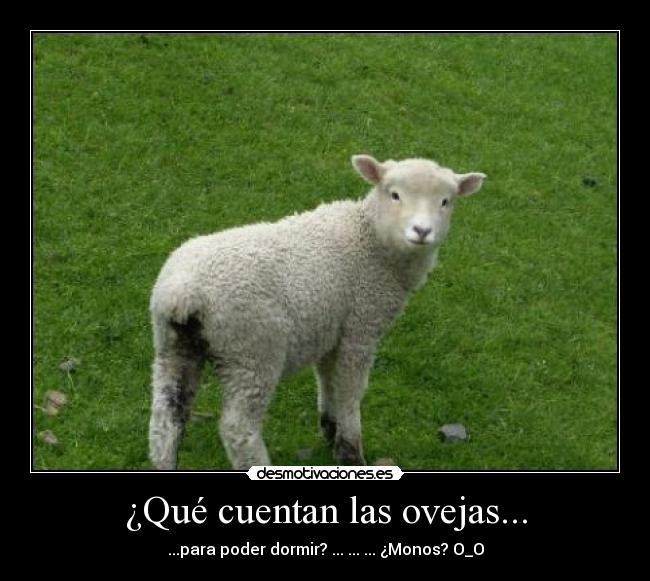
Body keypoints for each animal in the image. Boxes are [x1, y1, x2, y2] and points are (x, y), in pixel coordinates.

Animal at [148, 155, 486, 470]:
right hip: (252, 350)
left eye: (445, 201)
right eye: (394, 195)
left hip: (173, 346)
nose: (421, 231)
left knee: (165, 418)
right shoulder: (361, 326)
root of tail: (183, 292)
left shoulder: (331, 327)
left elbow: (327, 379)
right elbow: (350, 390)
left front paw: (330, 428)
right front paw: (350, 451)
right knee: (238, 427)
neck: (373, 241)